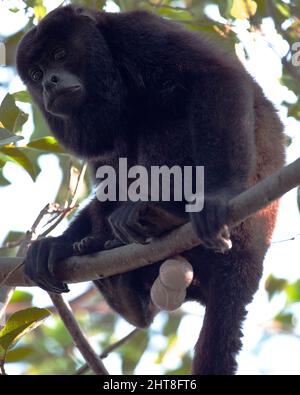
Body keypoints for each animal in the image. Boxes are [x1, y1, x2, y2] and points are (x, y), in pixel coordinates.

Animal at [15, 6, 284, 378]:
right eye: (36, 73)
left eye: (59, 54)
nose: (49, 83)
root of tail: (252, 258)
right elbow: (106, 167)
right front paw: (56, 244)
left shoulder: (140, 33)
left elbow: (214, 78)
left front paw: (218, 196)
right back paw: (113, 270)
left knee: (162, 112)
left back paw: (161, 216)